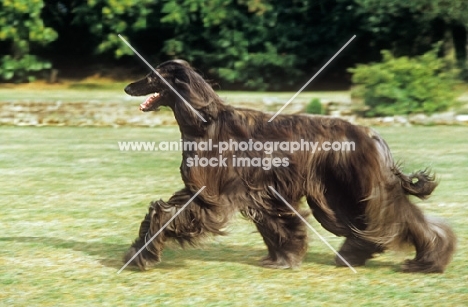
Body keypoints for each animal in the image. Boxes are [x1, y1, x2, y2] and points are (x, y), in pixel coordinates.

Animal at [122, 59, 456, 274]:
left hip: (358, 188)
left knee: (400, 219)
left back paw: (427, 261)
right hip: (337, 196)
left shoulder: (211, 194)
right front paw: (285, 257)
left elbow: (163, 213)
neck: (204, 122)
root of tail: (372, 135)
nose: (127, 87)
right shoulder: (260, 192)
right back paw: (359, 254)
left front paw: (141, 255)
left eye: (152, 76)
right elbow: (279, 224)